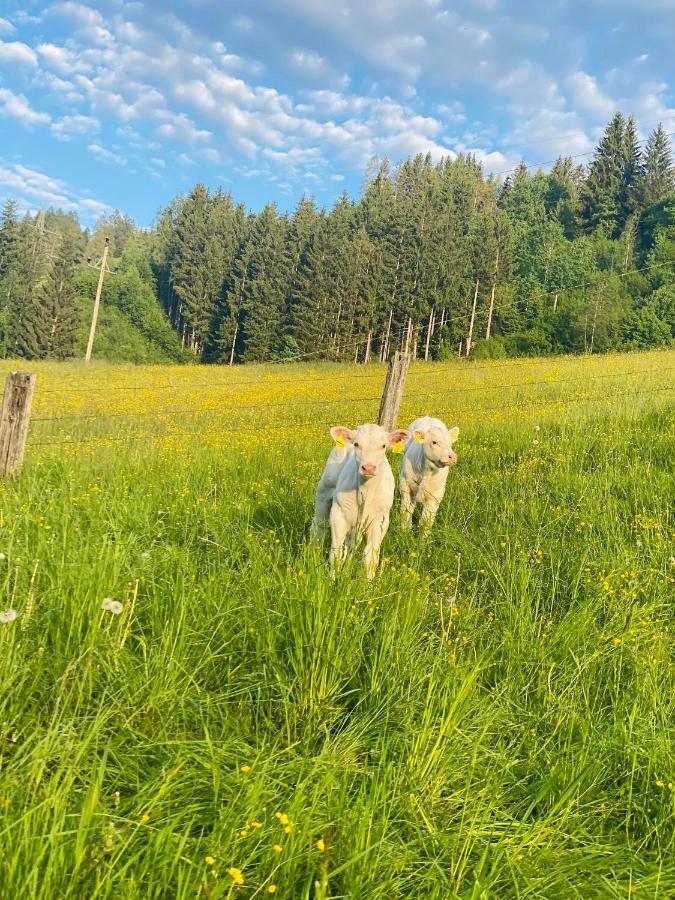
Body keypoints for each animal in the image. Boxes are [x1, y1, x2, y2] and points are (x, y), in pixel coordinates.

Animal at [310, 422, 406, 576]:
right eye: (356, 444)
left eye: (383, 445)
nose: (369, 468)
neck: (365, 493)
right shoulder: (338, 515)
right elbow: (336, 553)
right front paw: (332, 579)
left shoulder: (380, 521)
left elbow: (370, 557)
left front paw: (368, 581)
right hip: (323, 494)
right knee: (318, 527)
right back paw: (313, 555)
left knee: (351, 544)